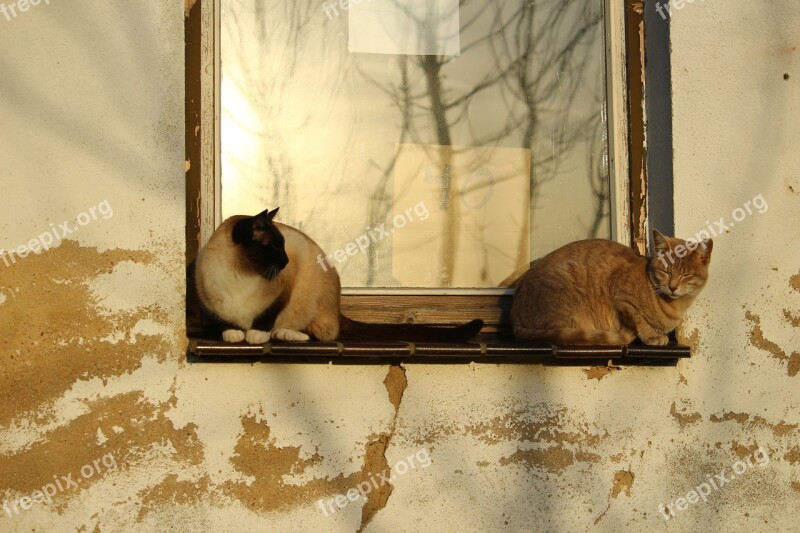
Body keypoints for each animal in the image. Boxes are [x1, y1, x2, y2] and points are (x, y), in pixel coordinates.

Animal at [194, 206, 482, 342]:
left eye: (283, 246)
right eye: (274, 247)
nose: (285, 261)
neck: (239, 275)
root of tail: (338, 308)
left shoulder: (286, 287)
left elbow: (266, 316)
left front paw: (255, 335)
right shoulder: (212, 304)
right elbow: (226, 321)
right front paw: (232, 333)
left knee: (319, 334)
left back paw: (281, 334)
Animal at [512, 230, 712, 344]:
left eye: (686, 275)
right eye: (666, 272)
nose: (672, 287)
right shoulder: (621, 297)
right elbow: (639, 318)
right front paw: (651, 336)